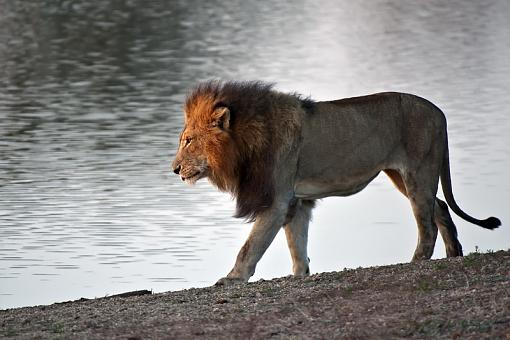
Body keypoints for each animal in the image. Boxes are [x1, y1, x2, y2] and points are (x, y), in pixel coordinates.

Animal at [172, 79, 502, 284]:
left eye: (188, 141)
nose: (174, 169)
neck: (245, 142)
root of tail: (438, 111)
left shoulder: (276, 201)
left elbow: (251, 245)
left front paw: (232, 278)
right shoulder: (297, 200)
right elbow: (297, 244)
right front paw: (300, 275)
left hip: (418, 173)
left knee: (427, 225)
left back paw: (417, 261)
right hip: (405, 177)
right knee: (441, 207)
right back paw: (454, 253)